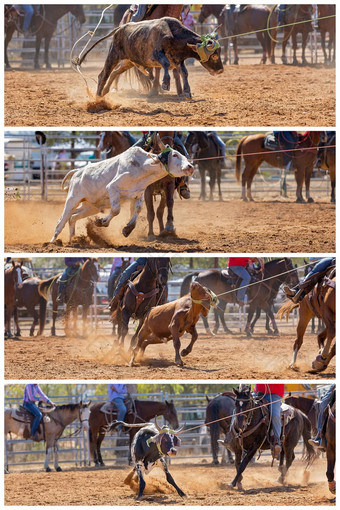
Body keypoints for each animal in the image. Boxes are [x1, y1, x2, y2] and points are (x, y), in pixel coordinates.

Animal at [50, 136, 194, 244]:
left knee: (72, 217)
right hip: (72, 199)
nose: (190, 166)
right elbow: (116, 209)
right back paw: (53, 242)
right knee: (61, 221)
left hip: (91, 207)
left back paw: (73, 240)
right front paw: (101, 222)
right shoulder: (113, 188)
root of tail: (77, 171)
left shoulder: (138, 194)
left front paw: (128, 229)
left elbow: (137, 210)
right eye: (175, 155)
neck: (142, 167)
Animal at [75, 16, 223, 98]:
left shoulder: (178, 60)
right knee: (103, 74)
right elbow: (165, 64)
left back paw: (105, 91)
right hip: (114, 54)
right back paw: (98, 97)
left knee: (115, 72)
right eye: (215, 56)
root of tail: (119, 29)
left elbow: (184, 73)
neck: (174, 35)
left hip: (128, 61)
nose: (221, 70)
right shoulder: (157, 55)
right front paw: (165, 83)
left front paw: (187, 92)